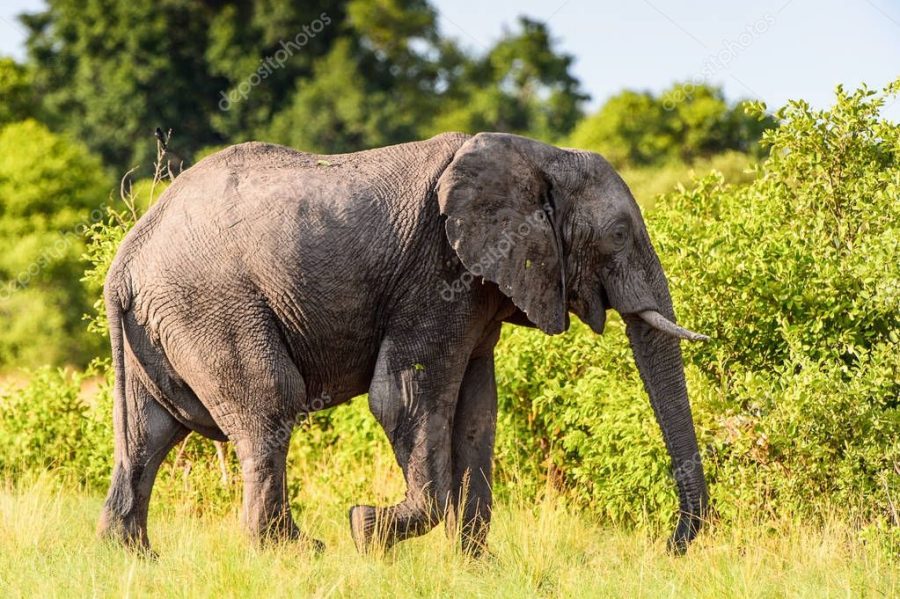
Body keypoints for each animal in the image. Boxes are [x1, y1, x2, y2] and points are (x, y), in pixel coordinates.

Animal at [98, 131, 712, 556]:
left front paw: (475, 567)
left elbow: (476, 413)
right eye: (618, 235)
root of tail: (127, 255)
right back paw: (297, 552)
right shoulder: (438, 273)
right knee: (270, 405)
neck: (538, 155)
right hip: (211, 304)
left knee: (149, 434)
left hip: (162, 324)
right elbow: (405, 399)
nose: (670, 546)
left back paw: (133, 557)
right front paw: (365, 528)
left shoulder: (478, 289)